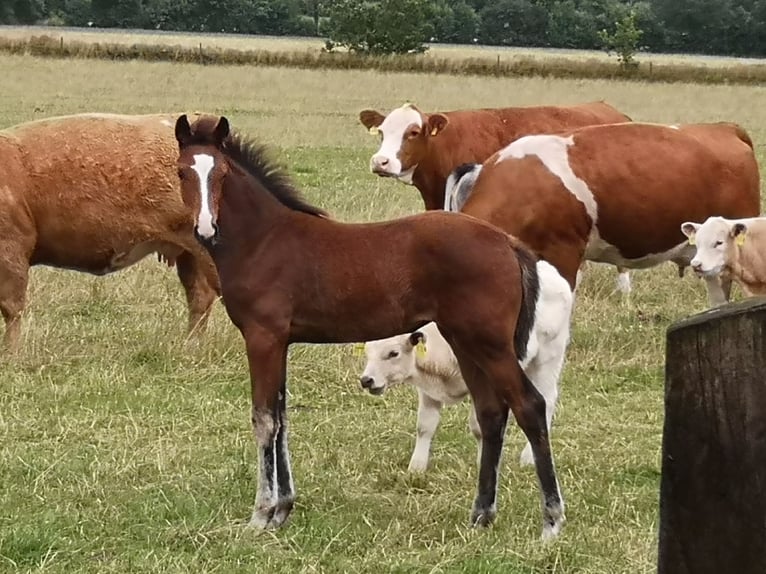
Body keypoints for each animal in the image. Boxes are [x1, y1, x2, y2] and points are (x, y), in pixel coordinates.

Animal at [0, 112, 222, 352]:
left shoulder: (12, 249)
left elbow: (11, 307)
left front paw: (11, 353)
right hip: (190, 254)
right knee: (200, 295)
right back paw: (190, 346)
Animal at [364, 260, 572, 472]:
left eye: (393, 353)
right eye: (367, 352)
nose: (366, 380)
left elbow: (479, 427)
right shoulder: (428, 391)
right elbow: (424, 426)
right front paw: (416, 467)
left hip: (549, 356)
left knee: (547, 399)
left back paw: (529, 457)